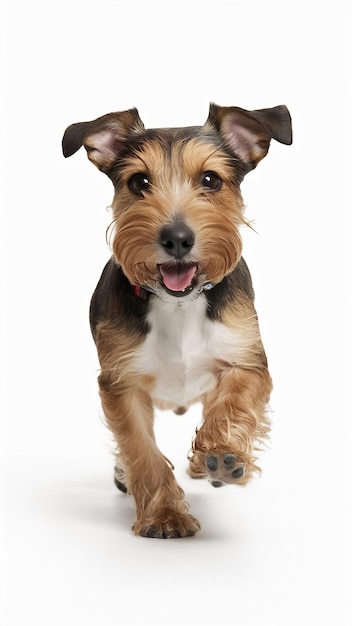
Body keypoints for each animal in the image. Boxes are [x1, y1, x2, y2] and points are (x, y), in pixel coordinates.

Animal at [61, 102, 292, 536]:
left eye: (210, 179)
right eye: (139, 182)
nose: (177, 239)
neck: (179, 304)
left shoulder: (246, 360)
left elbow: (235, 398)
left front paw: (223, 454)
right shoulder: (121, 382)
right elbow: (140, 449)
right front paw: (165, 515)